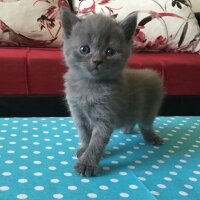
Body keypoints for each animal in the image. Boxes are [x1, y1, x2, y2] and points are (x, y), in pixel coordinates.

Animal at [61, 9, 164, 177]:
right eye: (84, 49)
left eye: (110, 51)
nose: (96, 61)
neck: (90, 86)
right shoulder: (78, 114)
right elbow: (85, 135)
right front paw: (84, 149)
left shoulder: (105, 116)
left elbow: (96, 142)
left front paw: (87, 163)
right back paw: (127, 128)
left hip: (150, 108)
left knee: (146, 125)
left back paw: (152, 138)